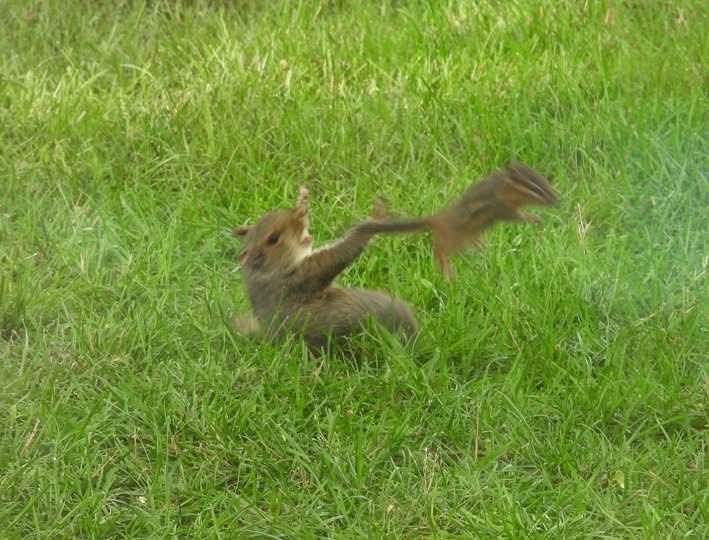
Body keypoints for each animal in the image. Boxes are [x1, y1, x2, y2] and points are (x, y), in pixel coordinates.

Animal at [231, 161, 558, 348]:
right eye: (273, 238)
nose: (299, 218)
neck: (268, 273)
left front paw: (303, 202)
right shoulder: (300, 277)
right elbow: (341, 253)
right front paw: (372, 221)